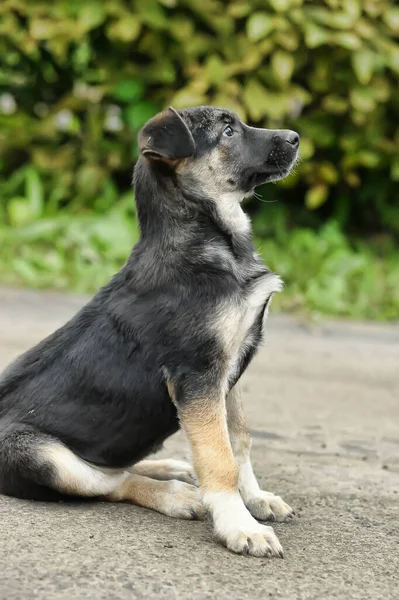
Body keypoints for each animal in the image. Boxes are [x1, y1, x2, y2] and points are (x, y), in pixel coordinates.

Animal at [0, 106, 300, 556]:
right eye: (228, 130)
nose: (297, 138)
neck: (204, 240)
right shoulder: (198, 375)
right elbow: (219, 457)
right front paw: (239, 524)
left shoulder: (227, 371)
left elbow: (239, 441)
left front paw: (255, 499)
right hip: (41, 455)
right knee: (109, 482)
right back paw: (176, 495)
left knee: (115, 466)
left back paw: (172, 467)